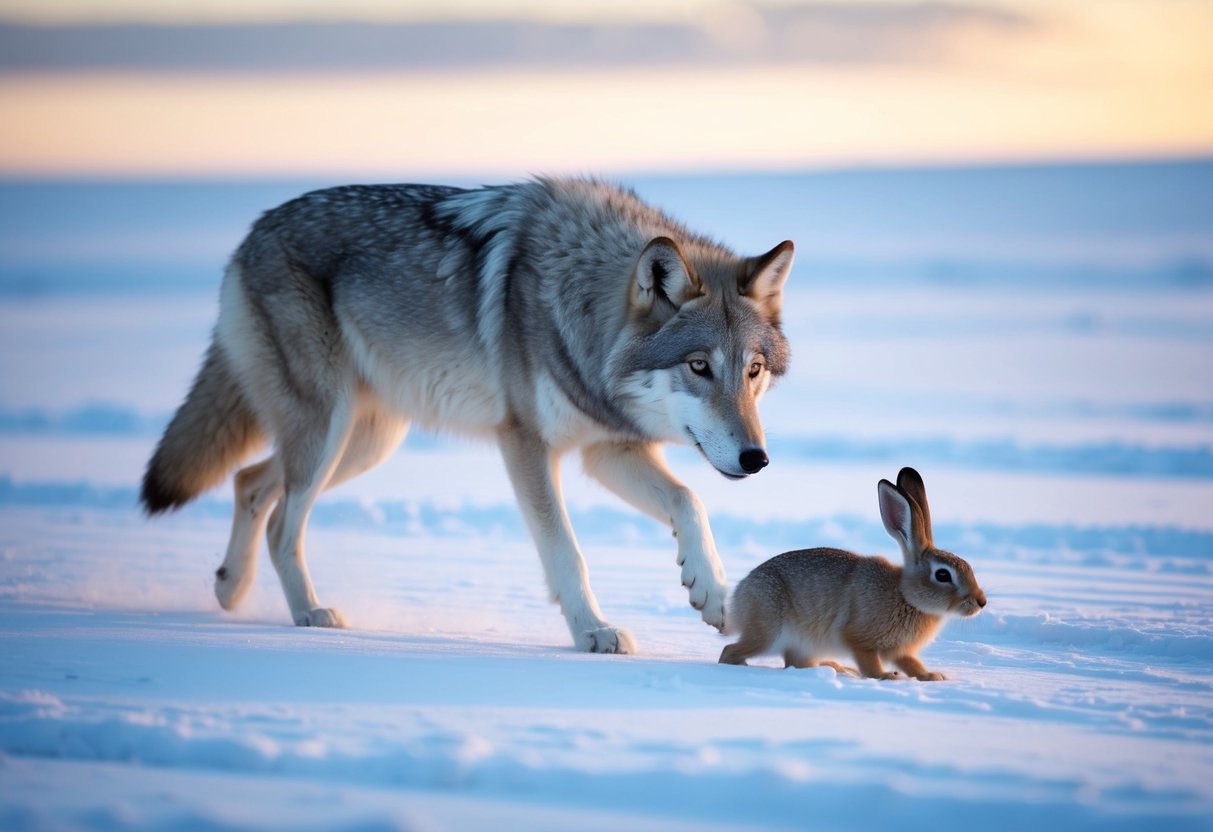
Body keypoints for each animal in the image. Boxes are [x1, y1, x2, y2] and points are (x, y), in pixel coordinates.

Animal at [141, 177, 794, 653]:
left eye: (753, 370)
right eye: (699, 366)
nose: (756, 459)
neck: (576, 303)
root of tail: (254, 230)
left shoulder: (606, 449)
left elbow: (690, 500)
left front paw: (710, 592)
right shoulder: (526, 444)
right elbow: (568, 551)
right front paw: (592, 631)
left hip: (362, 443)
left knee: (250, 481)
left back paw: (231, 588)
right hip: (328, 431)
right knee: (281, 519)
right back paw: (309, 611)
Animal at [719, 467, 986, 680]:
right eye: (943, 575)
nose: (981, 602)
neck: (906, 597)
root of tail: (740, 593)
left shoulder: (901, 651)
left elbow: (912, 664)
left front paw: (933, 676)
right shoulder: (859, 639)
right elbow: (870, 664)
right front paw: (887, 676)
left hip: (802, 644)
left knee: (796, 662)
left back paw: (835, 668)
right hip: (768, 629)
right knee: (730, 651)